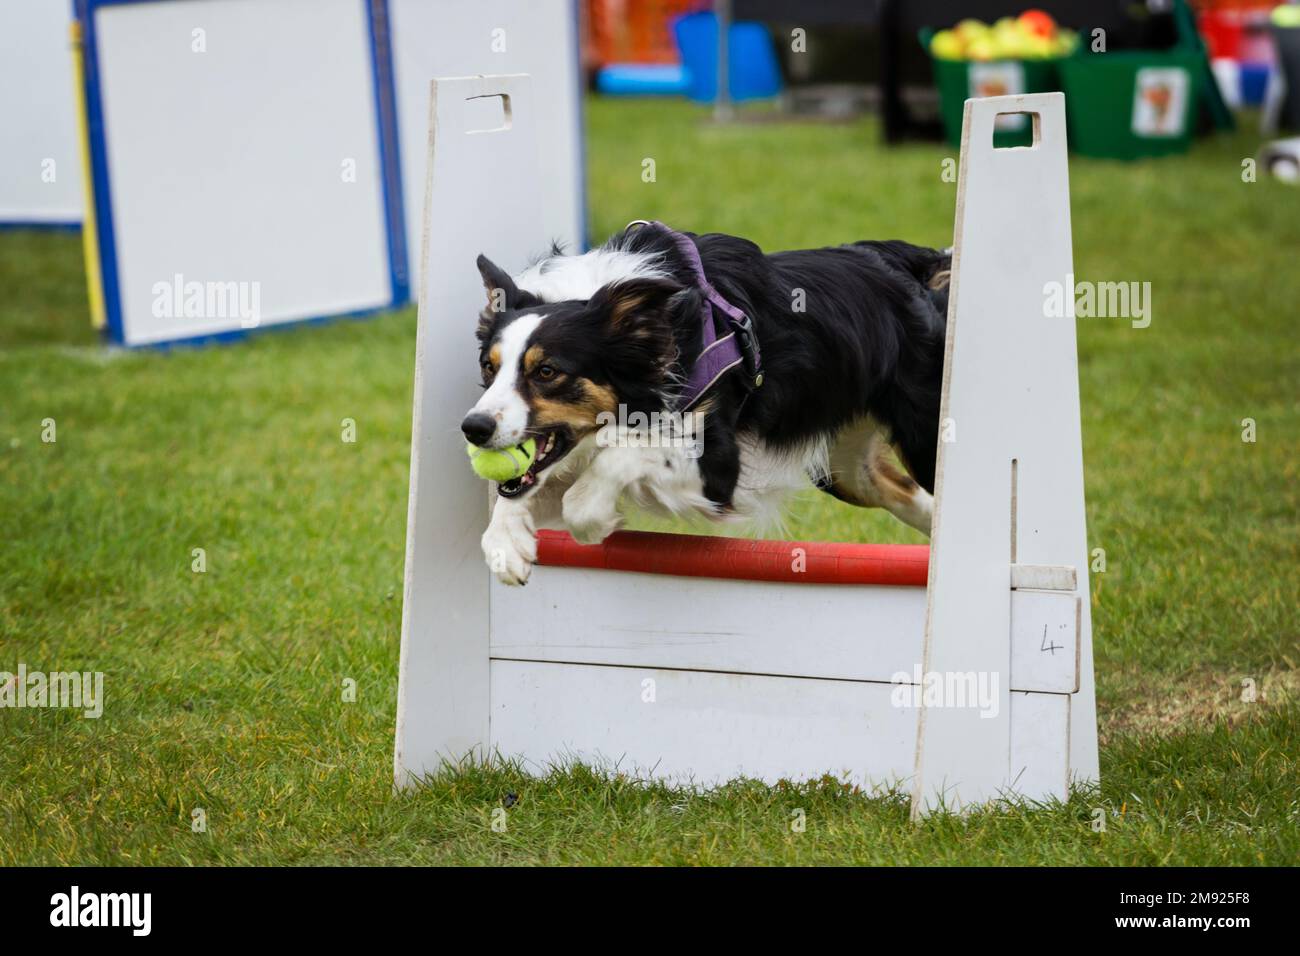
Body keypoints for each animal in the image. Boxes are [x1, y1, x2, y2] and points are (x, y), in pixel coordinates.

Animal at [462, 223, 951, 582]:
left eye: (547, 371)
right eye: (488, 367)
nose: (474, 428)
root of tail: (905, 264)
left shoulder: (718, 468)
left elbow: (622, 456)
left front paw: (592, 517)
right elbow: (519, 491)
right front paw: (507, 544)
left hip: (925, 436)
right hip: (845, 470)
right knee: (906, 494)